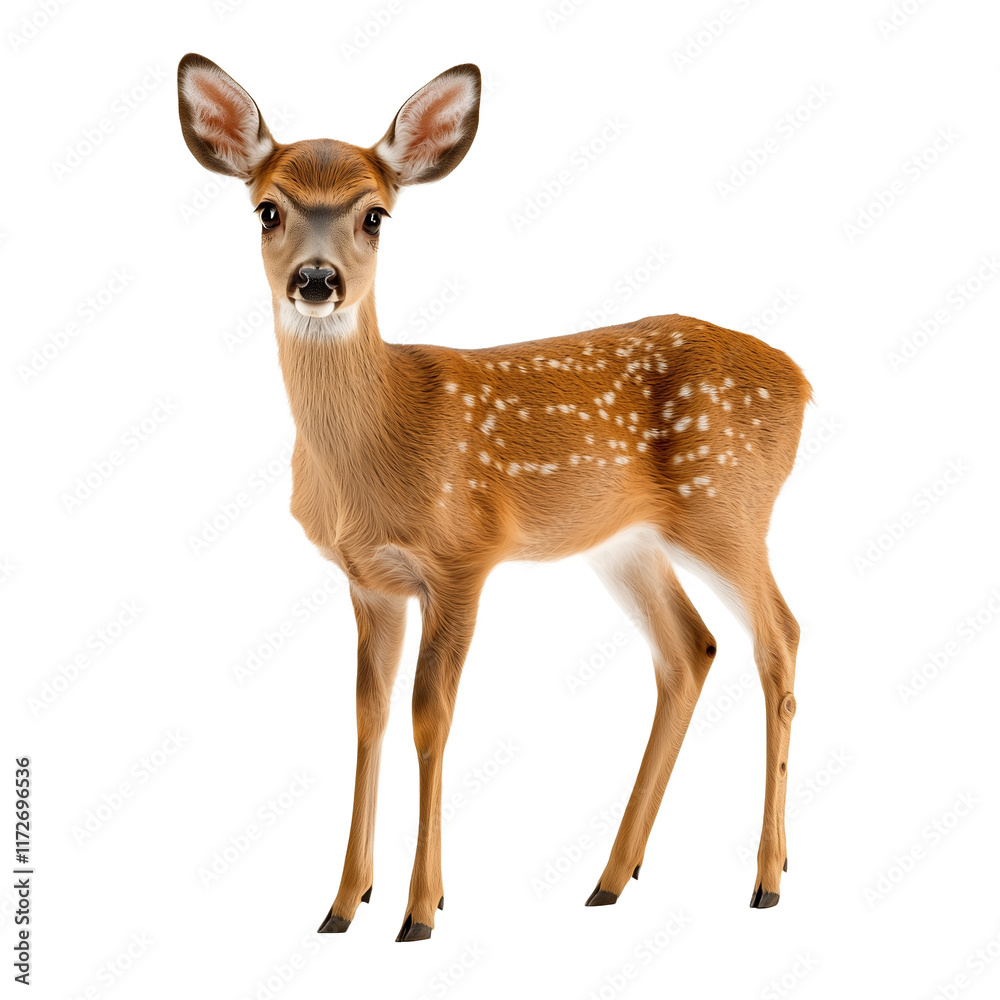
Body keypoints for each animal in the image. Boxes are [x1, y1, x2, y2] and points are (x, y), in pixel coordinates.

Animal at [177, 53, 812, 942]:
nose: (317, 280)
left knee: (779, 635)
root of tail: (803, 378)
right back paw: (611, 878)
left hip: (728, 505)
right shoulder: (370, 582)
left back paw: (766, 878)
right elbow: (369, 715)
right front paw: (342, 903)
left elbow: (429, 717)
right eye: (268, 210)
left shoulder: (462, 558)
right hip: (628, 543)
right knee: (690, 650)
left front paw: (420, 909)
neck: (376, 449)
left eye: (375, 216)